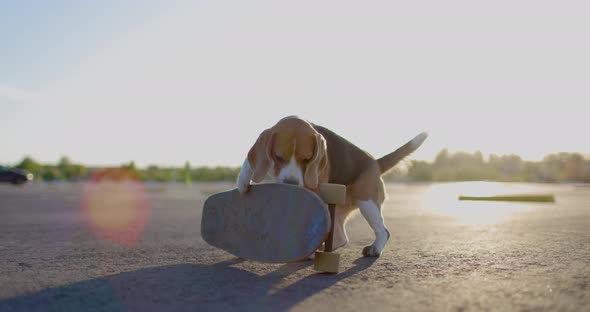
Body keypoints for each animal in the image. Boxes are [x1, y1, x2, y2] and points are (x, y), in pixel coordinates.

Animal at [238, 116, 428, 258]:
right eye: (278, 157)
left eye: (307, 159)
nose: (291, 184)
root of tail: (374, 162)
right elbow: (250, 162)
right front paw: (242, 182)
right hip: (338, 210)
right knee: (341, 237)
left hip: (367, 202)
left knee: (383, 231)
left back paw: (374, 248)